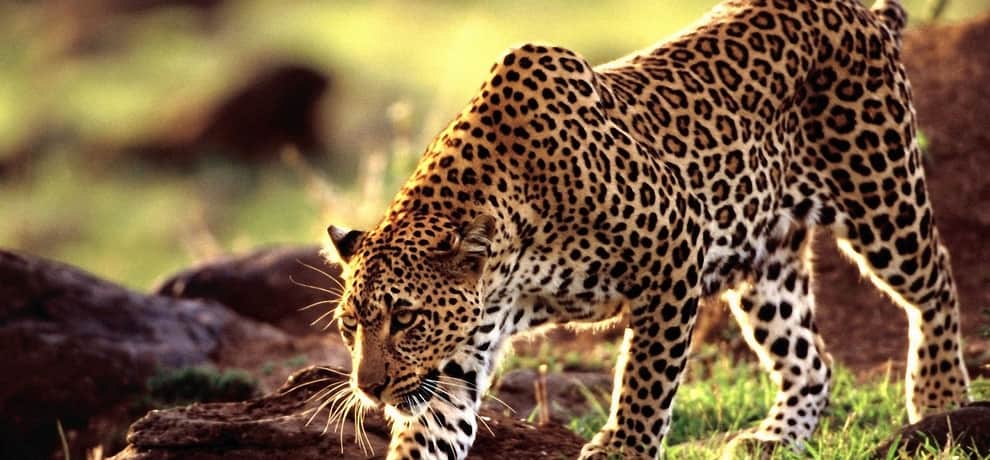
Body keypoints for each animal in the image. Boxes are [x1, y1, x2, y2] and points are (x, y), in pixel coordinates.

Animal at [325, 0, 971, 458]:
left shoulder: (676, 249)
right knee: (810, 358)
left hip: (881, 197)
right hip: (766, 263)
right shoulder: (458, 357)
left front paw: (623, 448)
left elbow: (646, 377)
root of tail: (862, 11)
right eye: (350, 326)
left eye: (406, 319)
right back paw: (774, 439)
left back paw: (940, 400)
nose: (370, 389)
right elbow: (433, 430)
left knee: (937, 283)